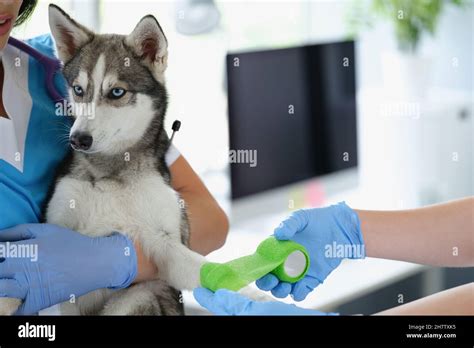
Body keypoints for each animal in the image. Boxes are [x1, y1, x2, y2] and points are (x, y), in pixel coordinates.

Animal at [1, 4, 209, 316]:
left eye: (117, 92)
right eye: (78, 90)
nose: (78, 139)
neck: (110, 170)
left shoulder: (164, 245)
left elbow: (206, 269)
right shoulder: (57, 227)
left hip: (139, 296)